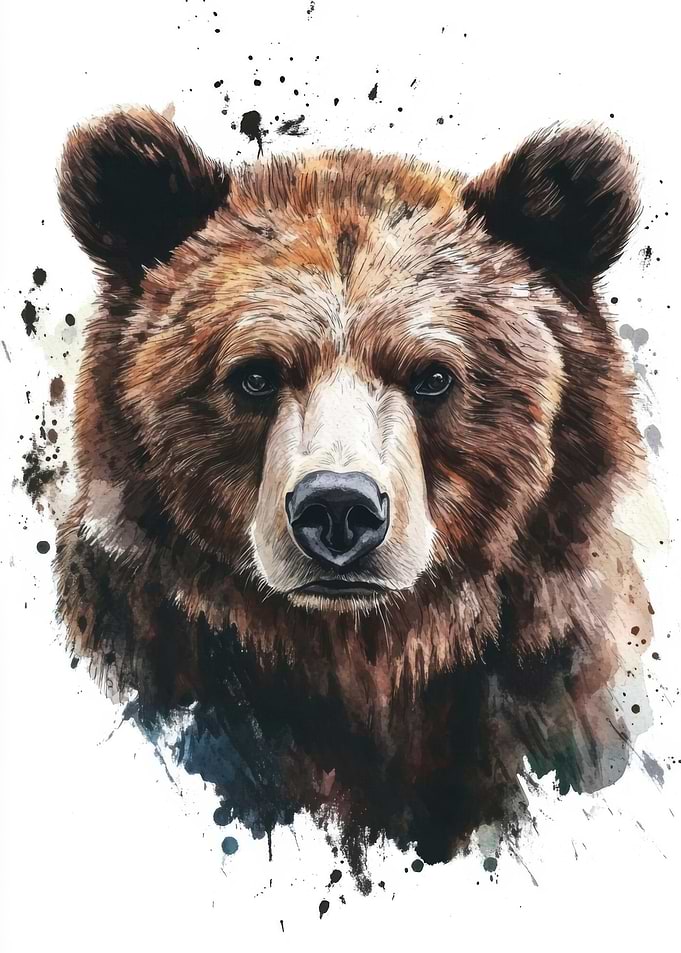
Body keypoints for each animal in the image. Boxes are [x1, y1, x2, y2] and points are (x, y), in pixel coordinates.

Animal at [56, 108, 653, 887]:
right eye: (255, 374)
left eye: (434, 375)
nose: (338, 510)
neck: (363, 653)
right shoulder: (152, 639)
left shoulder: (550, 677)